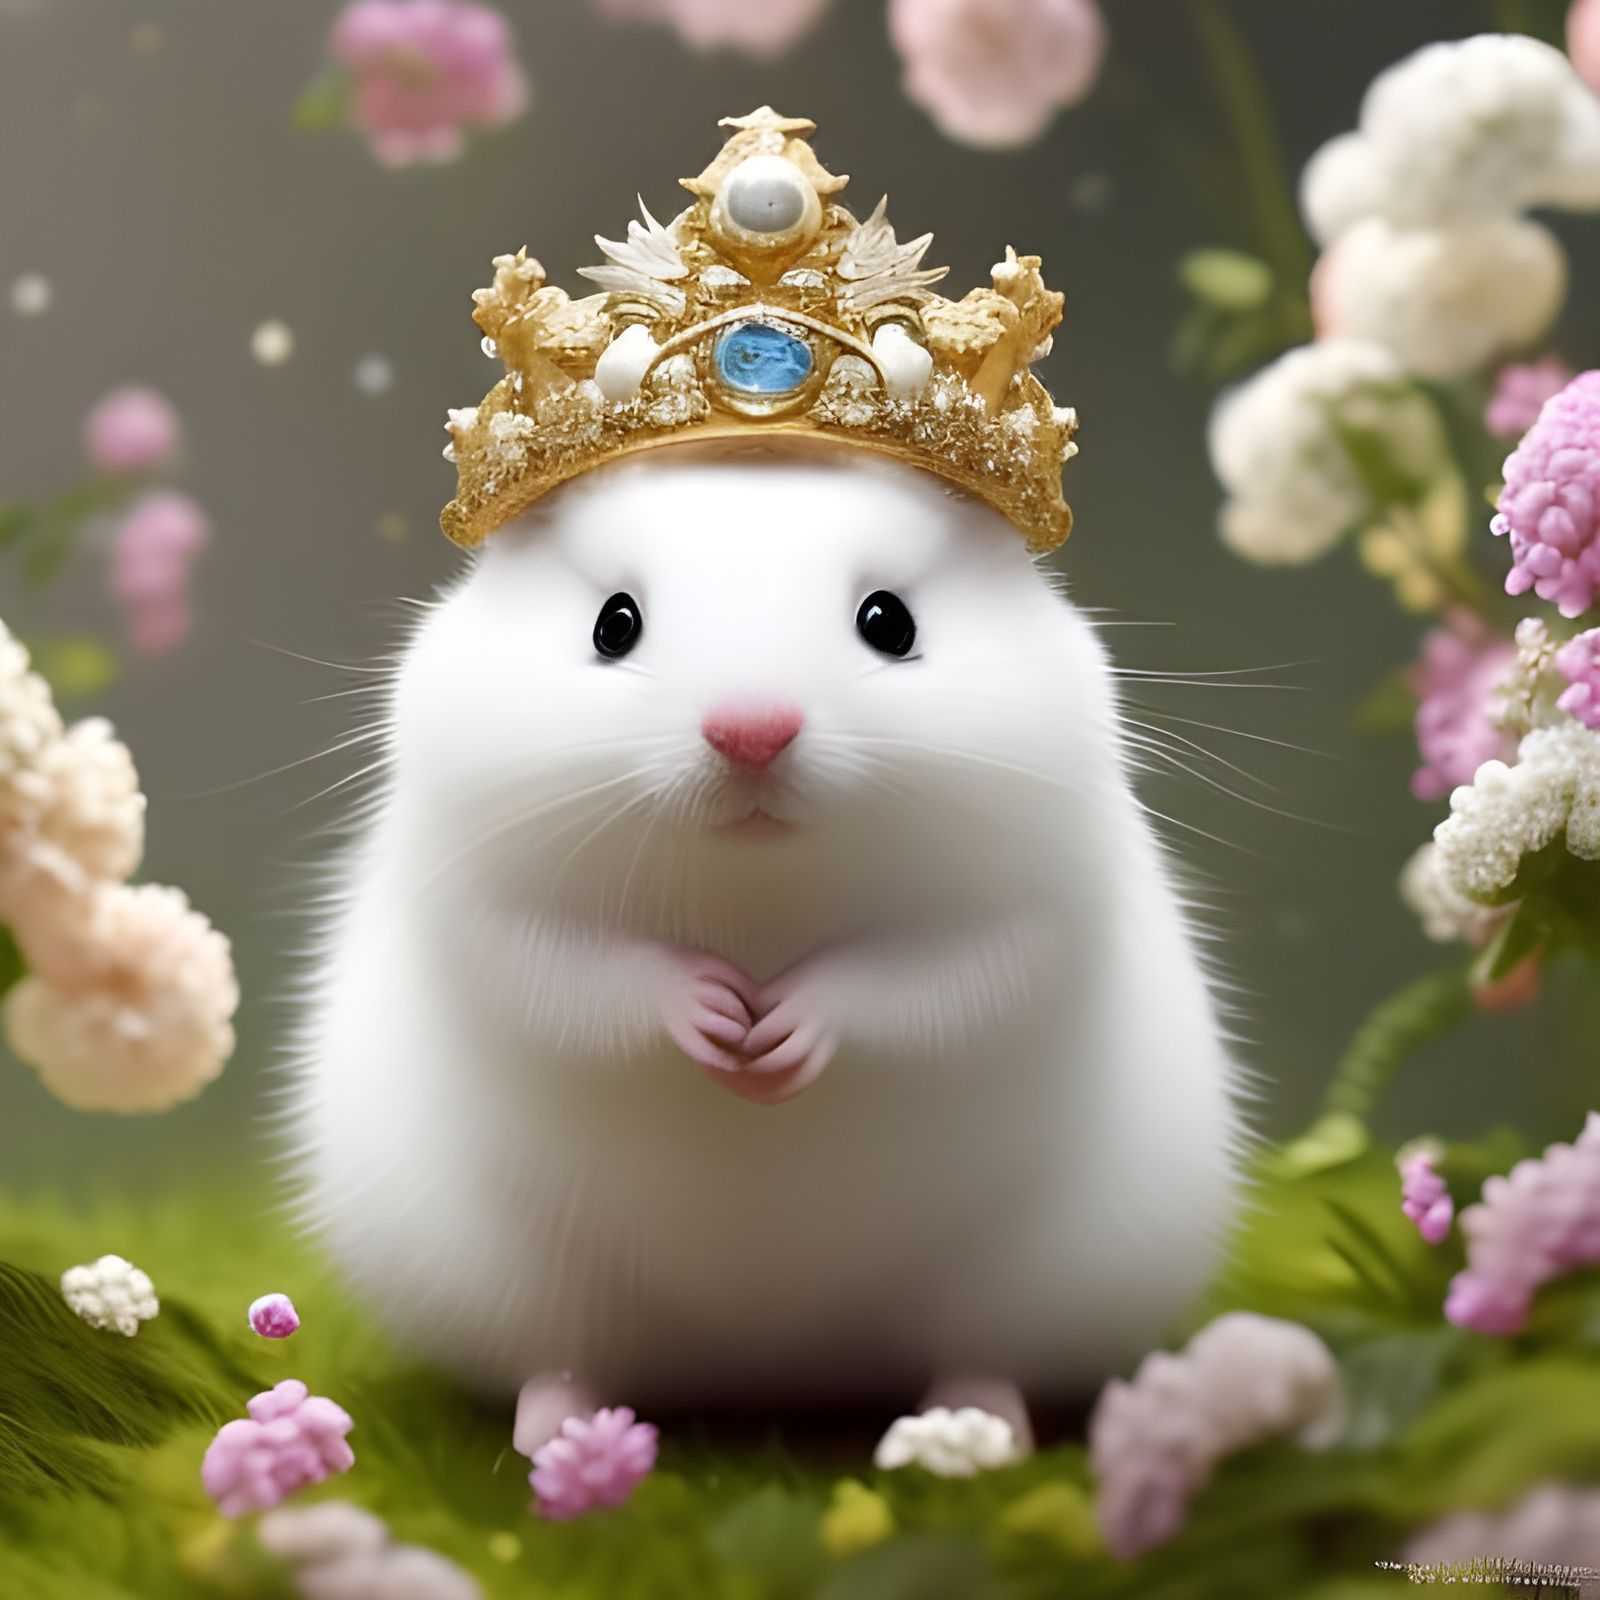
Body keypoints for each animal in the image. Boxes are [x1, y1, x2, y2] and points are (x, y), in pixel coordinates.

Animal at [290, 442, 1244, 1438]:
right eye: (613, 624)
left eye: (889, 622)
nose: (752, 734)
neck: (756, 881)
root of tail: (771, 1374)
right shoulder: (486, 897)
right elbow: (576, 975)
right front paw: (721, 1021)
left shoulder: (1026, 908)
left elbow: (924, 980)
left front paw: (774, 1043)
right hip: (525, 1290)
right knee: (557, 1363)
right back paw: (562, 1432)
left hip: (1031, 1289)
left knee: (982, 1362)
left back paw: (978, 1430)